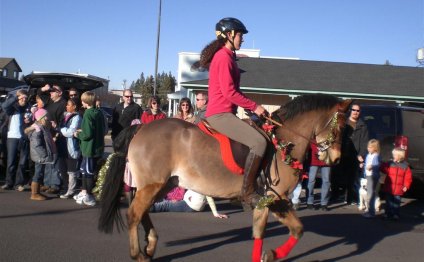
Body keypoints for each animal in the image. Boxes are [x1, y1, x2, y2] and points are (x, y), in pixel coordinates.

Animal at [97, 94, 350, 262]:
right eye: (340, 128)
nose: (337, 158)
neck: (282, 143)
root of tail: (141, 128)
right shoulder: (276, 197)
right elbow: (292, 230)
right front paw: (271, 253)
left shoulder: (270, 201)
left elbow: (281, 230)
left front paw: (267, 254)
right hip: (153, 185)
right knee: (133, 214)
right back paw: (138, 254)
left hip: (162, 184)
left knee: (143, 212)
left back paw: (150, 245)